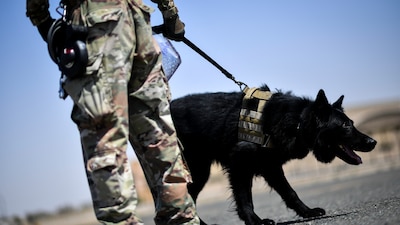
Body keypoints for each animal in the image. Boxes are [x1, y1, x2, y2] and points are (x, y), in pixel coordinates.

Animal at [170, 85, 376, 225]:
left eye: (351, 123)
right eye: (345, 125)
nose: (373, 142)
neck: (296, 122)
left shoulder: (271, 167)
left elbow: (290, 192)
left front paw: (307, 212)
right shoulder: (239, 166)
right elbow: (245, 198)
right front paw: (255, 221)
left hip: (199, 173)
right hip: (196, 171)